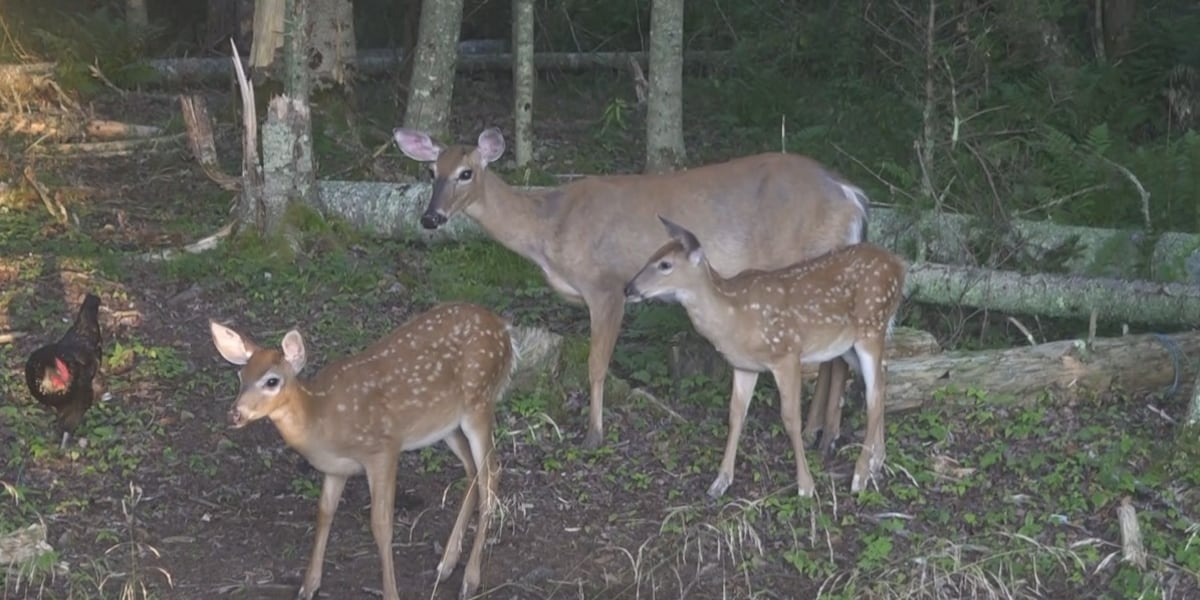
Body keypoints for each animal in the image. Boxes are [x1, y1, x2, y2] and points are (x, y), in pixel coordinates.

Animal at [208, 302, 515, 600]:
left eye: (272, 381)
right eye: (241, 375)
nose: (235, 414)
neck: (320, 417)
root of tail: (504, 329)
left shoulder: (383, 448)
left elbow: (381, 524)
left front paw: (391, 593)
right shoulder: (336, 468)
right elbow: (324, 513)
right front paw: (308, 587)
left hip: (479, 402)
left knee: (491, 472)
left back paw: (470, 580)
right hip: (446, 424)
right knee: (473, 470)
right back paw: (446, 564)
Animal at [394, 126, 869, 451]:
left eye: (466, 173)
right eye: (431, 170)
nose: (430, 218)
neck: (550, 229)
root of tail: (853, 195)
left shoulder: (607, 284)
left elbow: (596, 365)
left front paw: (594, 433)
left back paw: (822, 435)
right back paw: (821, 432)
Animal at [625, 217, 906, 498]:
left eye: (665, 264)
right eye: (650, 256)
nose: (628, 288)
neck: (734, 318)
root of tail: (900, 266)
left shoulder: (787, 354)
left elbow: (791, 418)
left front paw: (806, 487)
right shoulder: (744, 366)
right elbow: (735, 416)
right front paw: (720, 482)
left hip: (872, 326)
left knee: (874, 394)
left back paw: (860, 476)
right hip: (848, 343)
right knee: (883, 377)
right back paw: (877, 463)